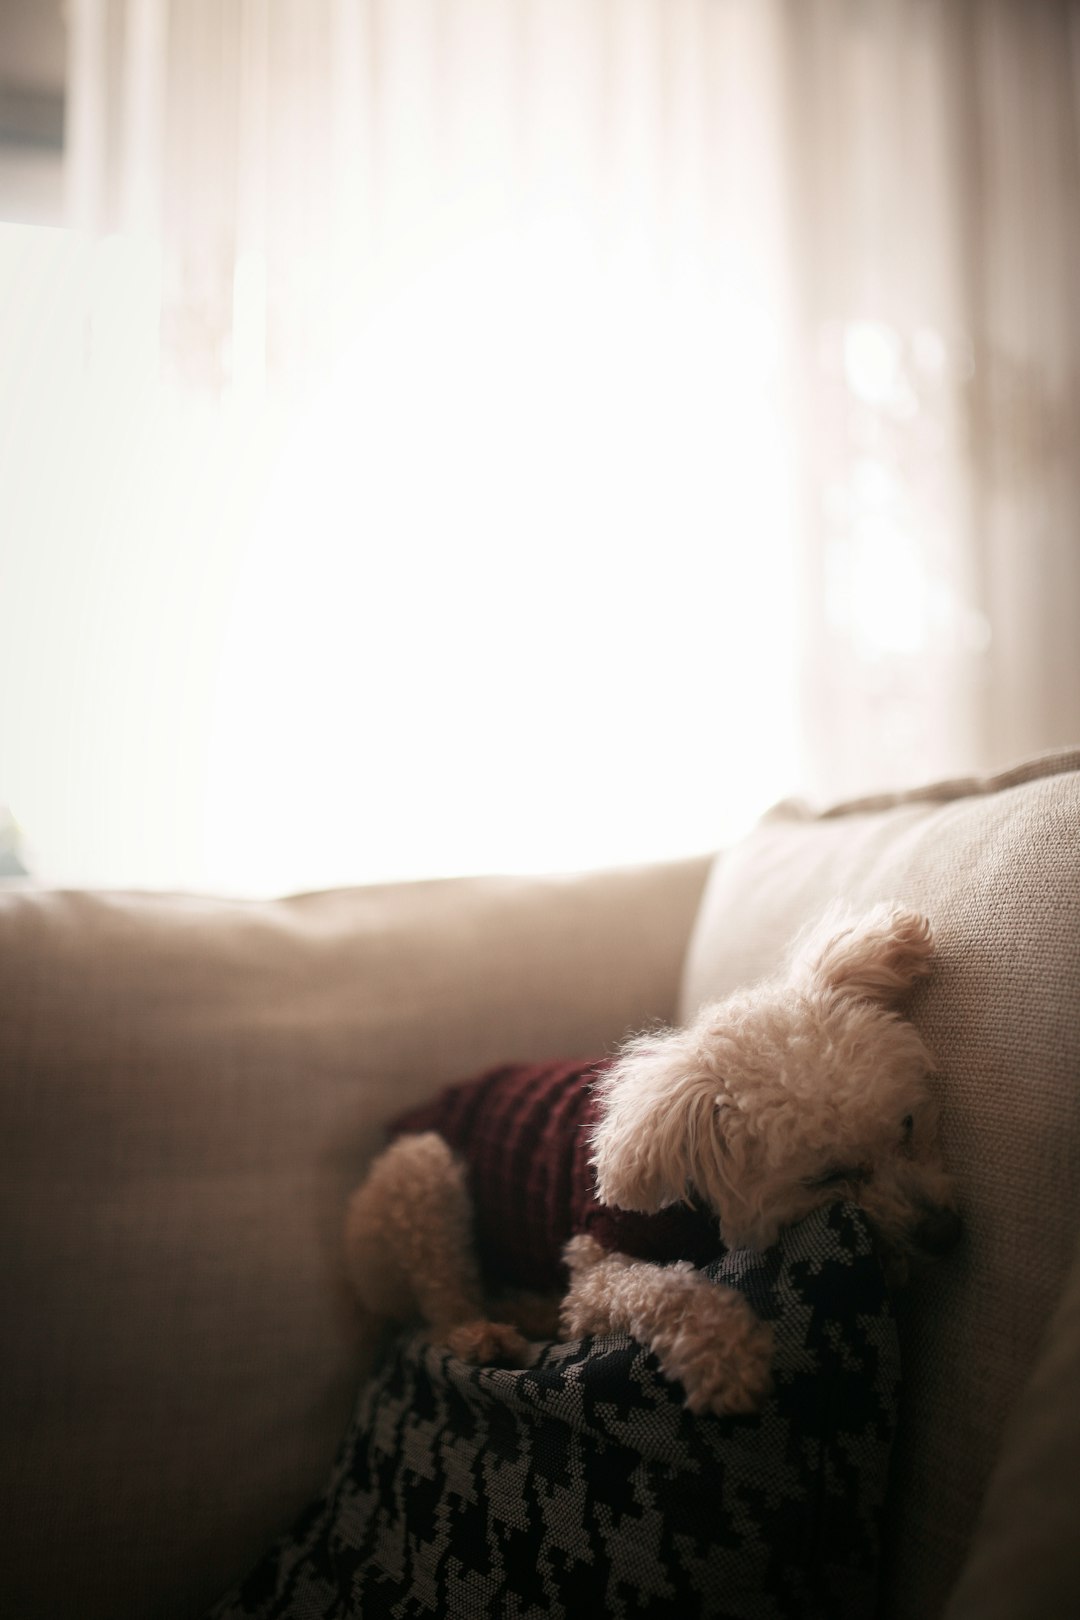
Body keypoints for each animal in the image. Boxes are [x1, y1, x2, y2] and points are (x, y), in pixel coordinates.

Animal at [341, 913, 958, 1419]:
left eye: (907, 1127)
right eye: (827, 1178)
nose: (943, 1233)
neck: (691, 1193)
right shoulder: (597, 1264)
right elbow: (670, 1292)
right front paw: (728, 1358)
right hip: (420, 1174)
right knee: (442, 1296)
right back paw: (481, 1334)